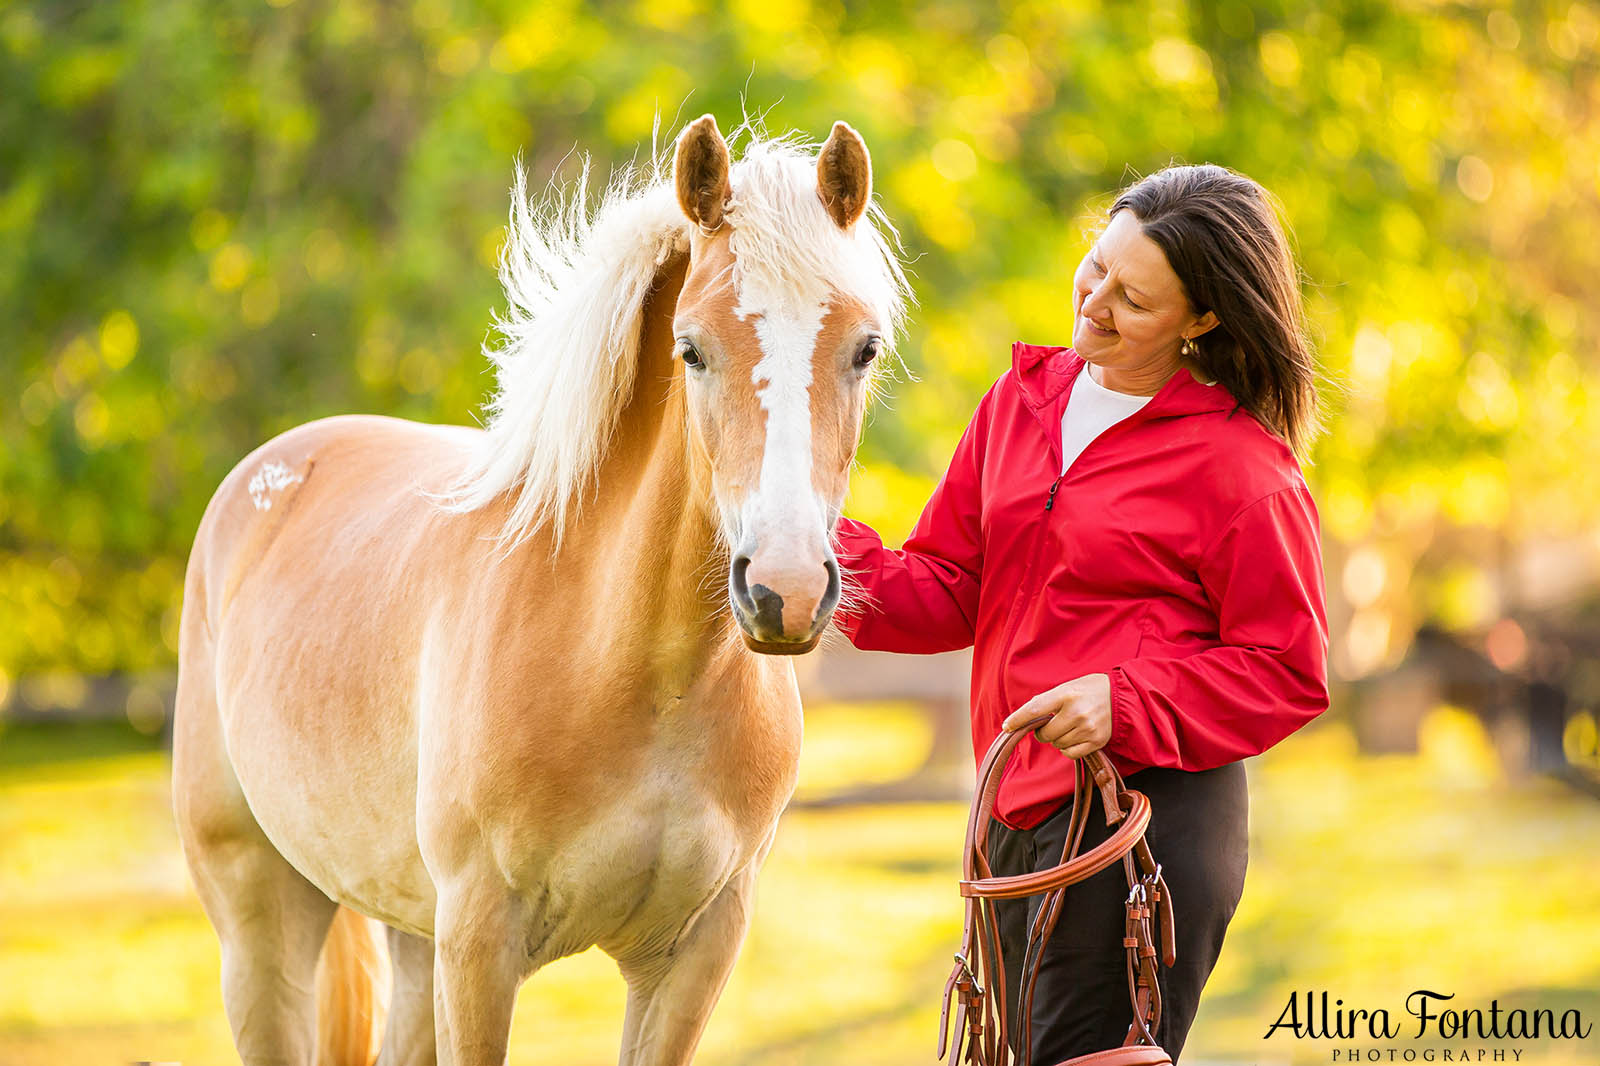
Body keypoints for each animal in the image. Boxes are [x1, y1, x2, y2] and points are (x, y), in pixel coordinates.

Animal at [172, 116, 915, 1062]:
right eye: (692, 349)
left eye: (864, 348)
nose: (783, 588)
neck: (635, 673)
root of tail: (273, 472)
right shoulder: (479, 949)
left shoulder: (694, 955)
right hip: (263, 923)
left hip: (409, 934)